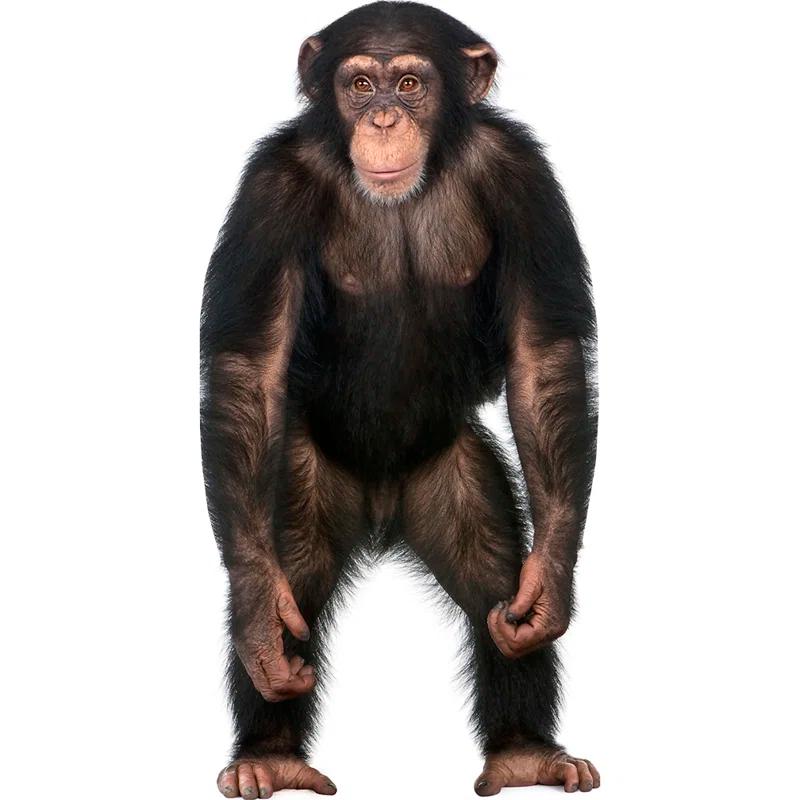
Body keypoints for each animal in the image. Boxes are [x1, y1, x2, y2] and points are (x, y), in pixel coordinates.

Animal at [201, 2, 598, 796]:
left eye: (410, 83)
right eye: (359, 84)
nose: (383, 117)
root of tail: (384, 516)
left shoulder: (523, 176)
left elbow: (543, 353)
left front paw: (551, 587)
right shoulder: (269, 190)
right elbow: (249, 367)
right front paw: (259, 622)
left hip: (455, 474)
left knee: (491, 577)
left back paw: (524, 748)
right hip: (305, 483)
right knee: (294, 575)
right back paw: (269, 754)